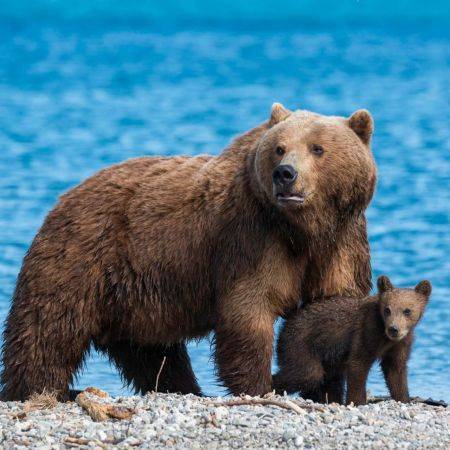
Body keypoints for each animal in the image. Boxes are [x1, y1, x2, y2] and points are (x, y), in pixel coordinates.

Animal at [0, 104, 376, 400]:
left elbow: (331, 307)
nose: (285, 174)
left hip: (135, 294)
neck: (303, 229)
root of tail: (64, 198)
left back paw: (183, 388)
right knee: (48, 331)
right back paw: (37, 389)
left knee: (151, 351)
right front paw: (259, 385)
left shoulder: (343, 241)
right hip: (81, 258)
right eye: (280, 148)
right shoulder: (251, 238)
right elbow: (250, 309)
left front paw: (325, 387)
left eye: (318, 148)